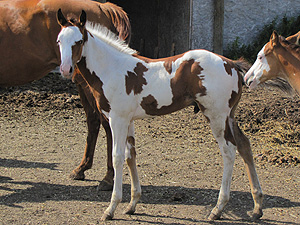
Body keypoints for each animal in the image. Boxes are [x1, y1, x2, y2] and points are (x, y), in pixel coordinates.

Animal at [56, 9, 262, 221]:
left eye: (79, 41)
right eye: (59, 41)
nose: (65, 69)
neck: (112, 69)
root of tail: (231, 64)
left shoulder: (117, 120)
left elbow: (117, 157)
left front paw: (111, 208)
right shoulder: (128, 121)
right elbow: (131, 156)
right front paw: (132, 204)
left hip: (216, 117)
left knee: (229, 151)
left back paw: (218, 208)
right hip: (229, 116)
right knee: (245, 145)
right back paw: (257, 206)